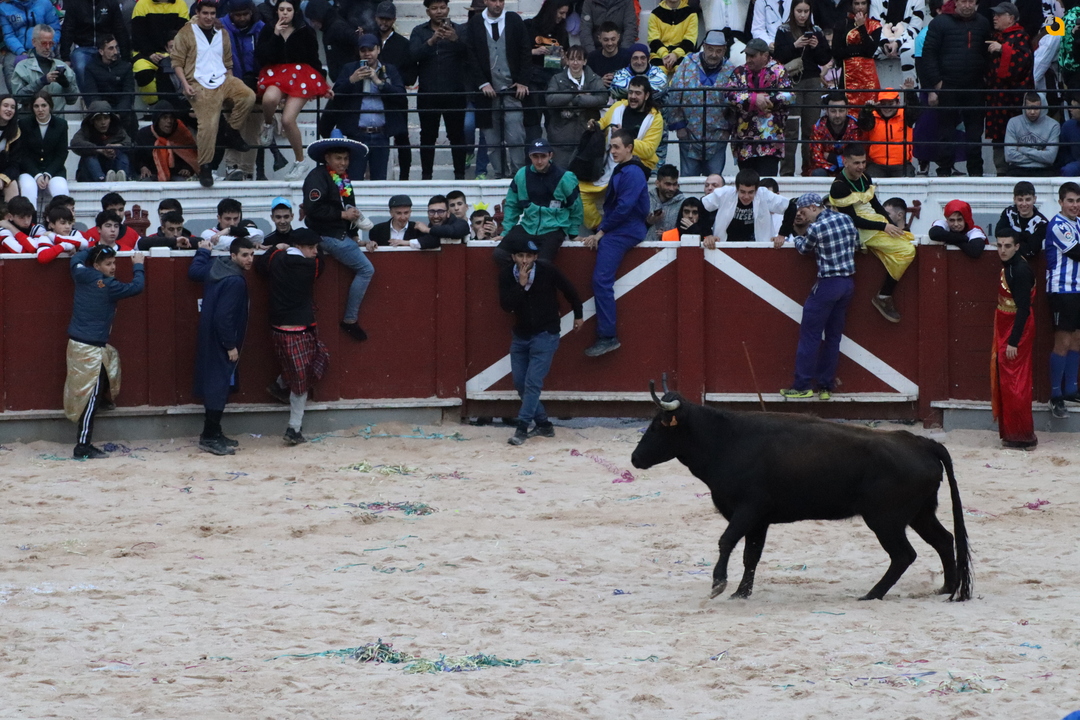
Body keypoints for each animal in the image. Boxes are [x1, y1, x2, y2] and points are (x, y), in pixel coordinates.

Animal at [630, 378, 973, 602]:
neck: (726, 441)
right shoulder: (759, 520)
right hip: (920, 514)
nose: (635, 458)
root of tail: (922, 443)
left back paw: (872, 594)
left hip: (885, 520)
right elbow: (751, 555)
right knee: (944, 540)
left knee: (904, 554)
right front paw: (742, 592)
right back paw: (947, 588)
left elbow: (726, 541)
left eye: (659, 425)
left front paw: (719, 584)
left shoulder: (748, 510)